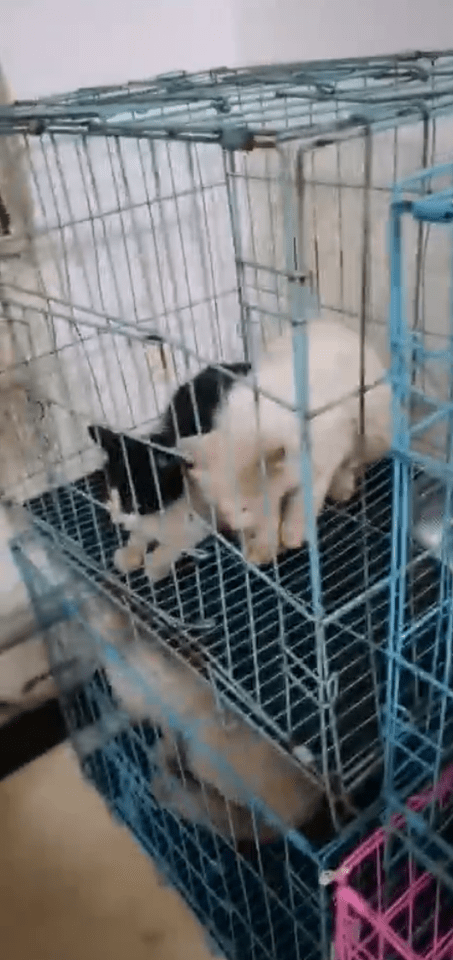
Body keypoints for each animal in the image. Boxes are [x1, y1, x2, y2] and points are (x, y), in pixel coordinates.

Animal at [87, 360, 251, 580]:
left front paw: (157, 562)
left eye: (132, 500)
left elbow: (186, 535)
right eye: (110, 491)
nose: (117, 521)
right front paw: (130, 550)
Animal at [182, 318, 390, 568]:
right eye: (222, 508)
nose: (233, 526)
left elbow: (301, 505)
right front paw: (259, 553)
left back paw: (342, 490)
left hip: (372, 435)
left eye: (243, 506)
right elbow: (268, 524)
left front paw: (291, 539)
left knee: (353, 465)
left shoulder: (321, 465)